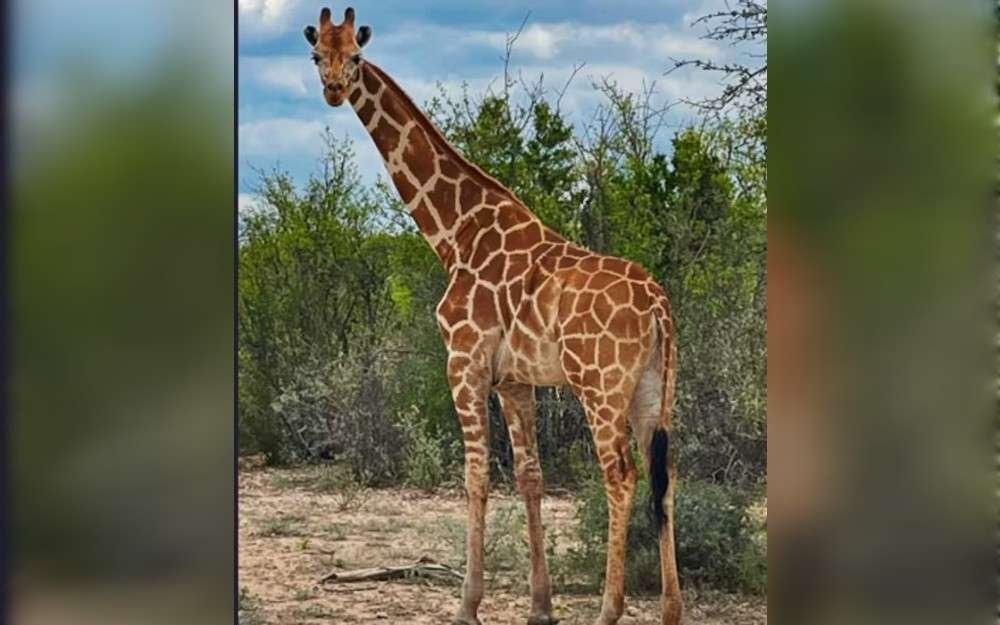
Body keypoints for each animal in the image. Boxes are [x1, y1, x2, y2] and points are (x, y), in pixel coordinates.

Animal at [305, 8, 682, 625]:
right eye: (318, 55)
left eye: (355, 57)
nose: (334, 89)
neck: (454, 234)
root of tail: (659, 307)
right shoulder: (515, 380)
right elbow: (530, 477)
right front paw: (540, 607)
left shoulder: (464, 362)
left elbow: (476, 475)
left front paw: (467, 605)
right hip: (655, 388)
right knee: (663, 475)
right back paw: (672, 609)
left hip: (600, 386)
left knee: (620, 476)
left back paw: (609, 609)